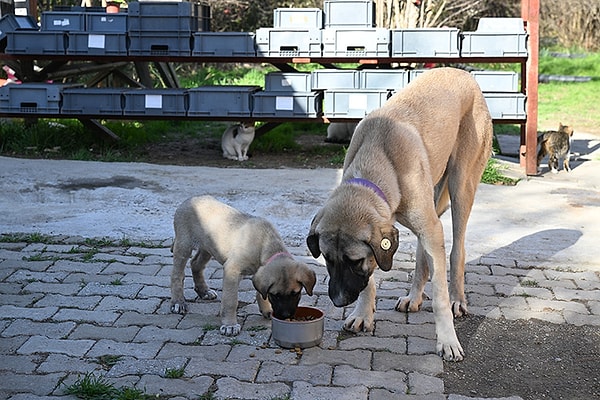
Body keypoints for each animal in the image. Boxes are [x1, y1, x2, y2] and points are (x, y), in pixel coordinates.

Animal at [171, 195, 316, 336]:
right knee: (177, 275)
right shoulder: (232, 270)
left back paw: (204, 291)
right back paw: (178, 302)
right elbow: (230, 301)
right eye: (275, 295)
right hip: (184, 245)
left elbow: (260, 292)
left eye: (296, 294)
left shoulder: (259, 272)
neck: (265, 243)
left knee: (195, 264)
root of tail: (188, 200)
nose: (285, 316)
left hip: (208, 247)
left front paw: (267, 310)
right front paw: (230, 325)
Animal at [308, 67, 494, 360]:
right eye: (327, 258)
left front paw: (448, 340)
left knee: (457, 251)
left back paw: (457, 299)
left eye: (353, 261)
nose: (337, 301)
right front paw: (363, 313)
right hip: (433, 205)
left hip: (461, 186)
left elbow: (439, 296)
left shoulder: (429, 227)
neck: (378, 158)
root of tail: (463, 73)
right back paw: (414, 296)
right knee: (424, 255)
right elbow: (371, 280)